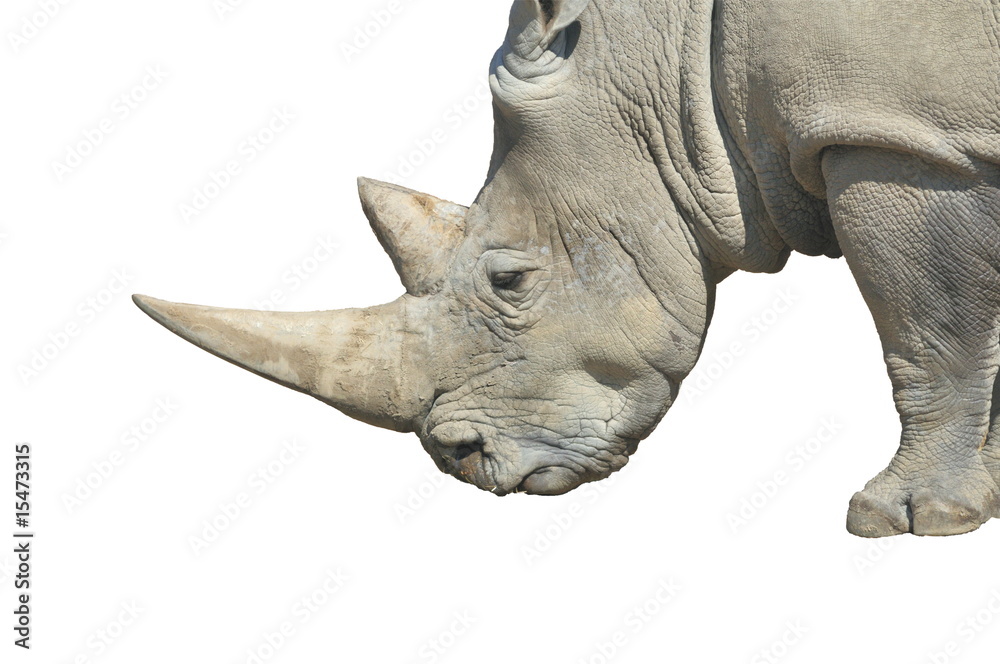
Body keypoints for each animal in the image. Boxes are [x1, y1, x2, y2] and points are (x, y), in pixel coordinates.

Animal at [134, 0, 1000, 538]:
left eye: (510, 280)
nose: (461, 462)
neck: (670, 55)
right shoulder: (934, 129)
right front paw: (981, 504)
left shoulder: (897, 136)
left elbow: (929, 332)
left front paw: (903, 520)